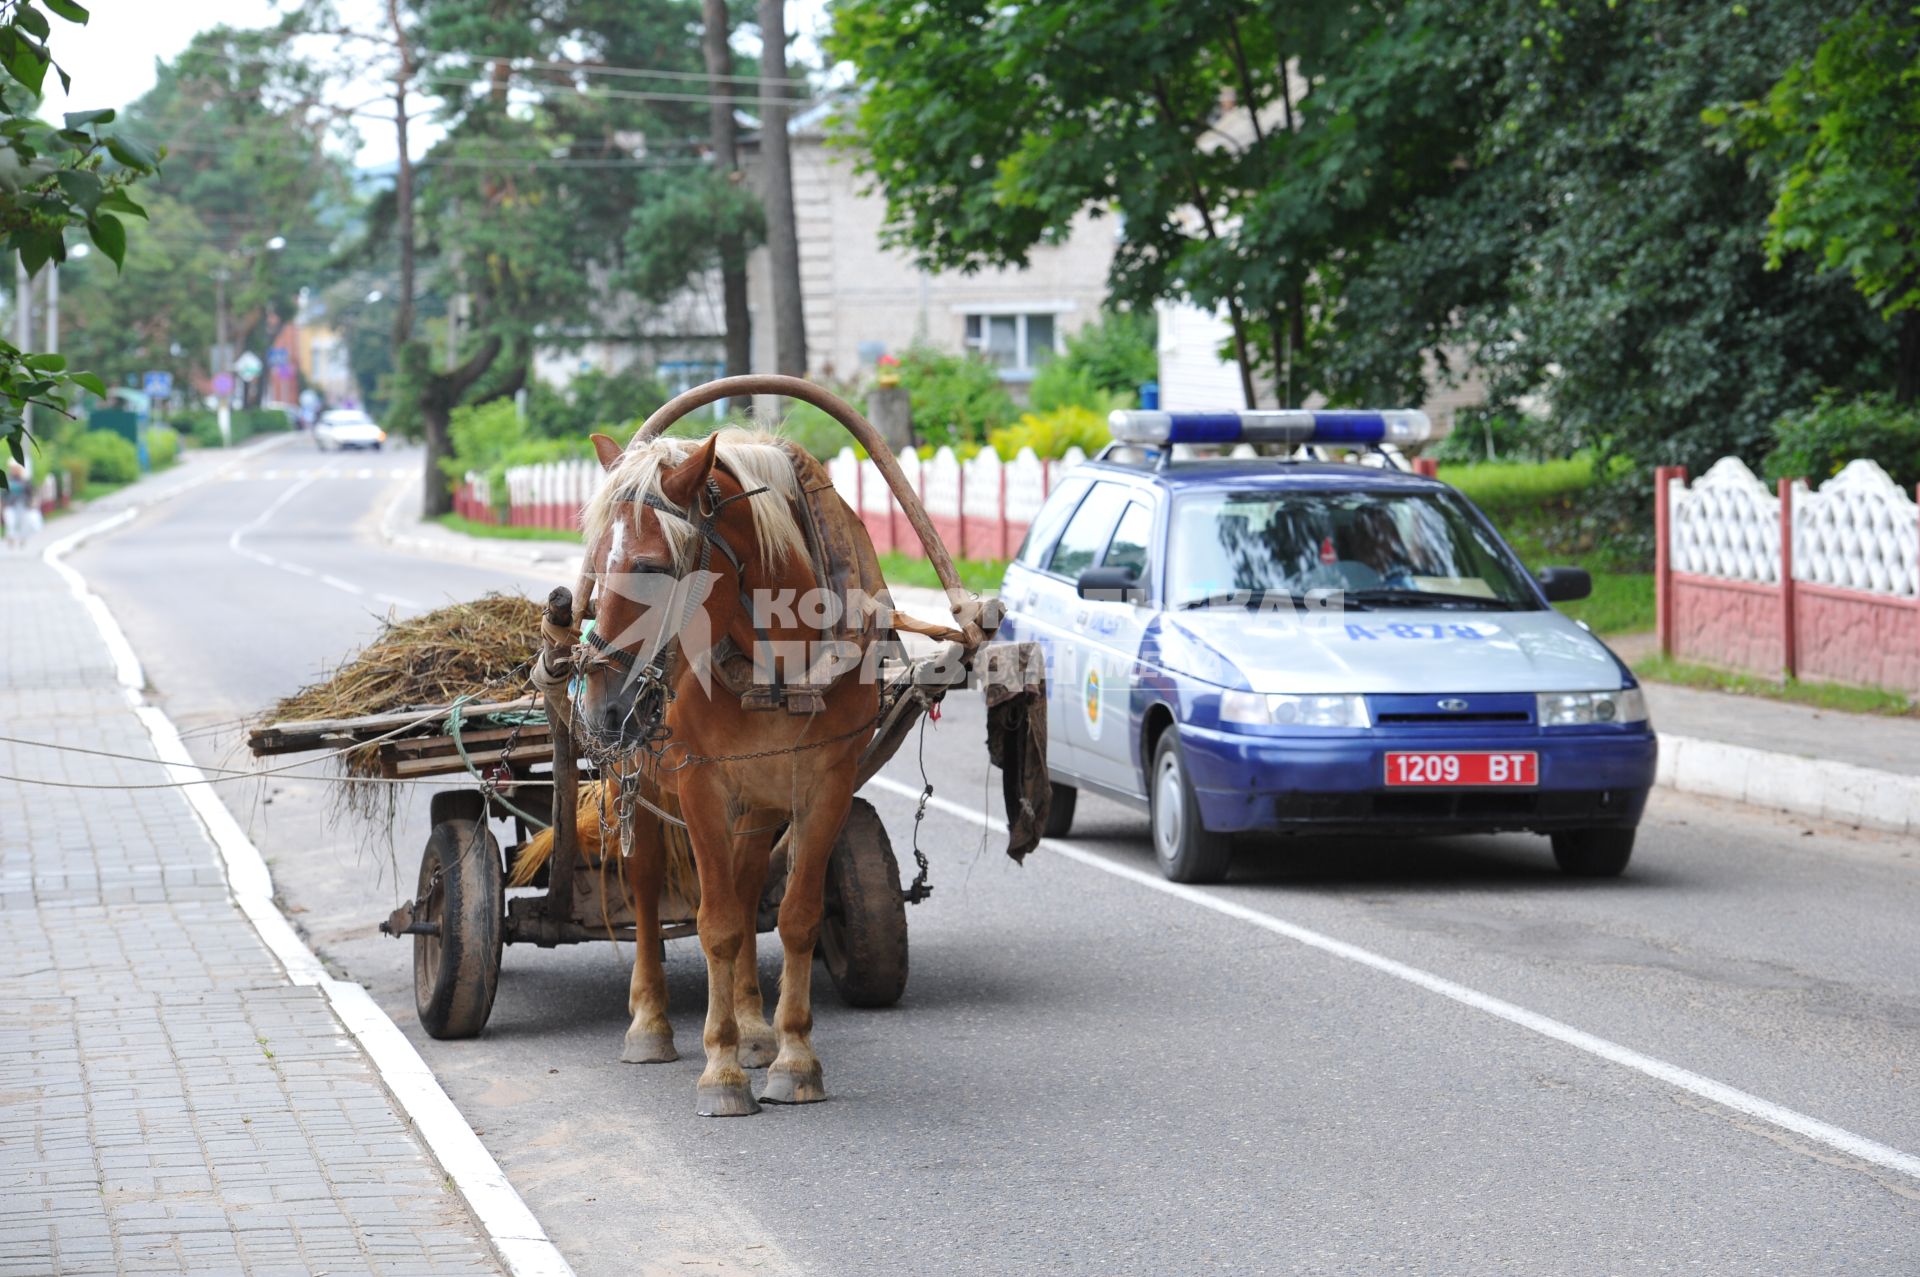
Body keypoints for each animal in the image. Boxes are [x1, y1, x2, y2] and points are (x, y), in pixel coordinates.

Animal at [572, 422, 879, 1113]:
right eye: (594, 568)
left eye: (651, 568)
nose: (601, 709)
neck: (779, 665)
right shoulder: (700, 785)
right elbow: (714, 925)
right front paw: (721, 1069)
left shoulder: (828, 785)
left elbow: (794, 917)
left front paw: (792, 1056)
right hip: (640, 782)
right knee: (647, 887)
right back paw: (651, 1021)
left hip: (759, 800)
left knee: (745, 887)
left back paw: (754, 1026)